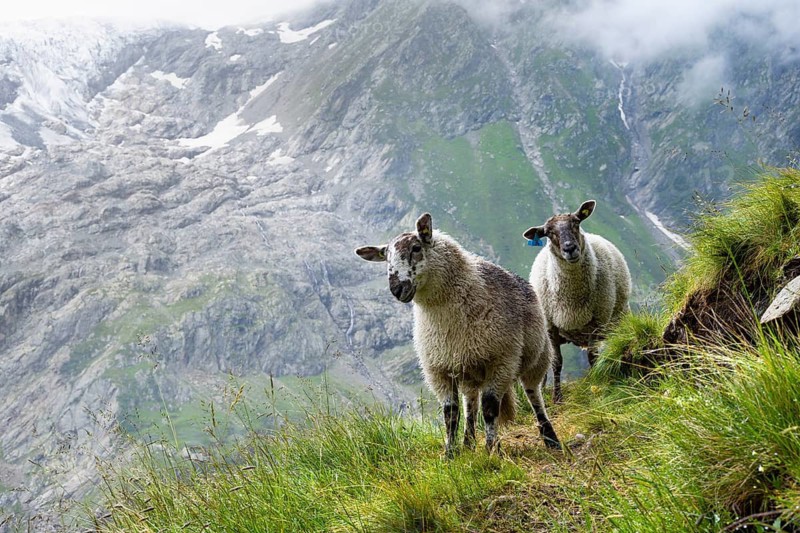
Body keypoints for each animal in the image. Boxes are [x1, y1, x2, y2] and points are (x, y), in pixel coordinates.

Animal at [356, 213, 560, 455]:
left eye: (416, 248)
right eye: (386, 257)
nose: (396, 289)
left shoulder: (501, 361)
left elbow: (490, 408)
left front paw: (491, 451)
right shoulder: (439, 370)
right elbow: (450, 414)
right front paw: (450, 453)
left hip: (535, 358)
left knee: (533, 395)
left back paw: (550, 438)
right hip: (468, 368)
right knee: (470, 404)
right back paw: (468, 442)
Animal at [523, 200, 631, 403]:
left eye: (576, 222)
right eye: (548, 232)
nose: (569, 248)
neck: (572, 299)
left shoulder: (596, 322)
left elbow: (592, 358)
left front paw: (596, 387)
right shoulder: (551, 327)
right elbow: (556, 362)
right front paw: (557, 398)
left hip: (618, 318)